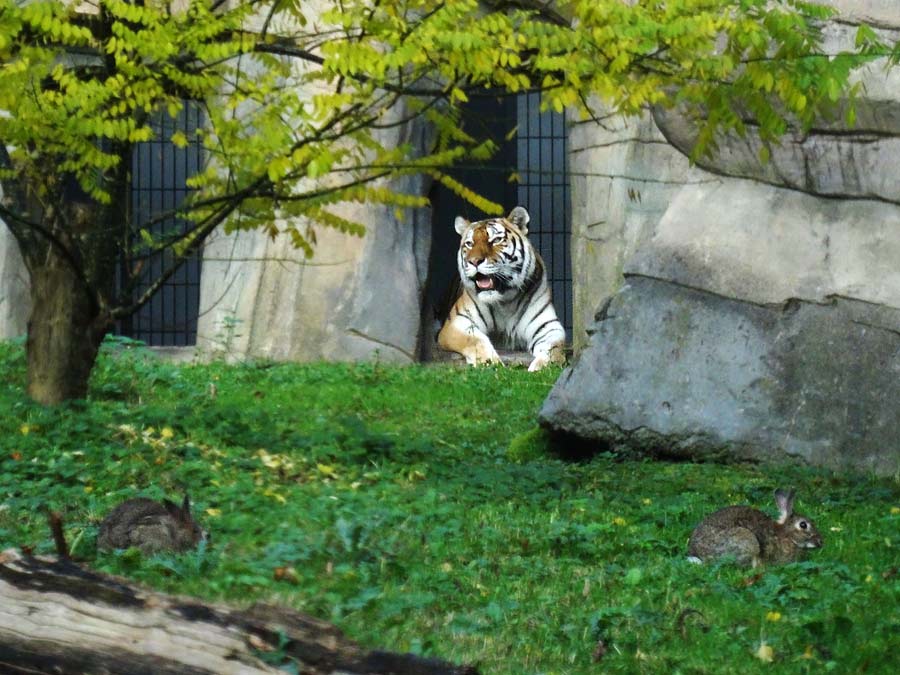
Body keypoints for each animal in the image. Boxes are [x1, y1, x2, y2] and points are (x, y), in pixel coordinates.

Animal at [440, 207, 568, 372]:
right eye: (469, 243)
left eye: (496, 240)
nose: (474, 261)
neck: (505, 300)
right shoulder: (458, 322)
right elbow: (475, 339)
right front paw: (490, 363)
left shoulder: (549, 327)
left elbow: (553, 348)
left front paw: (543, 366)